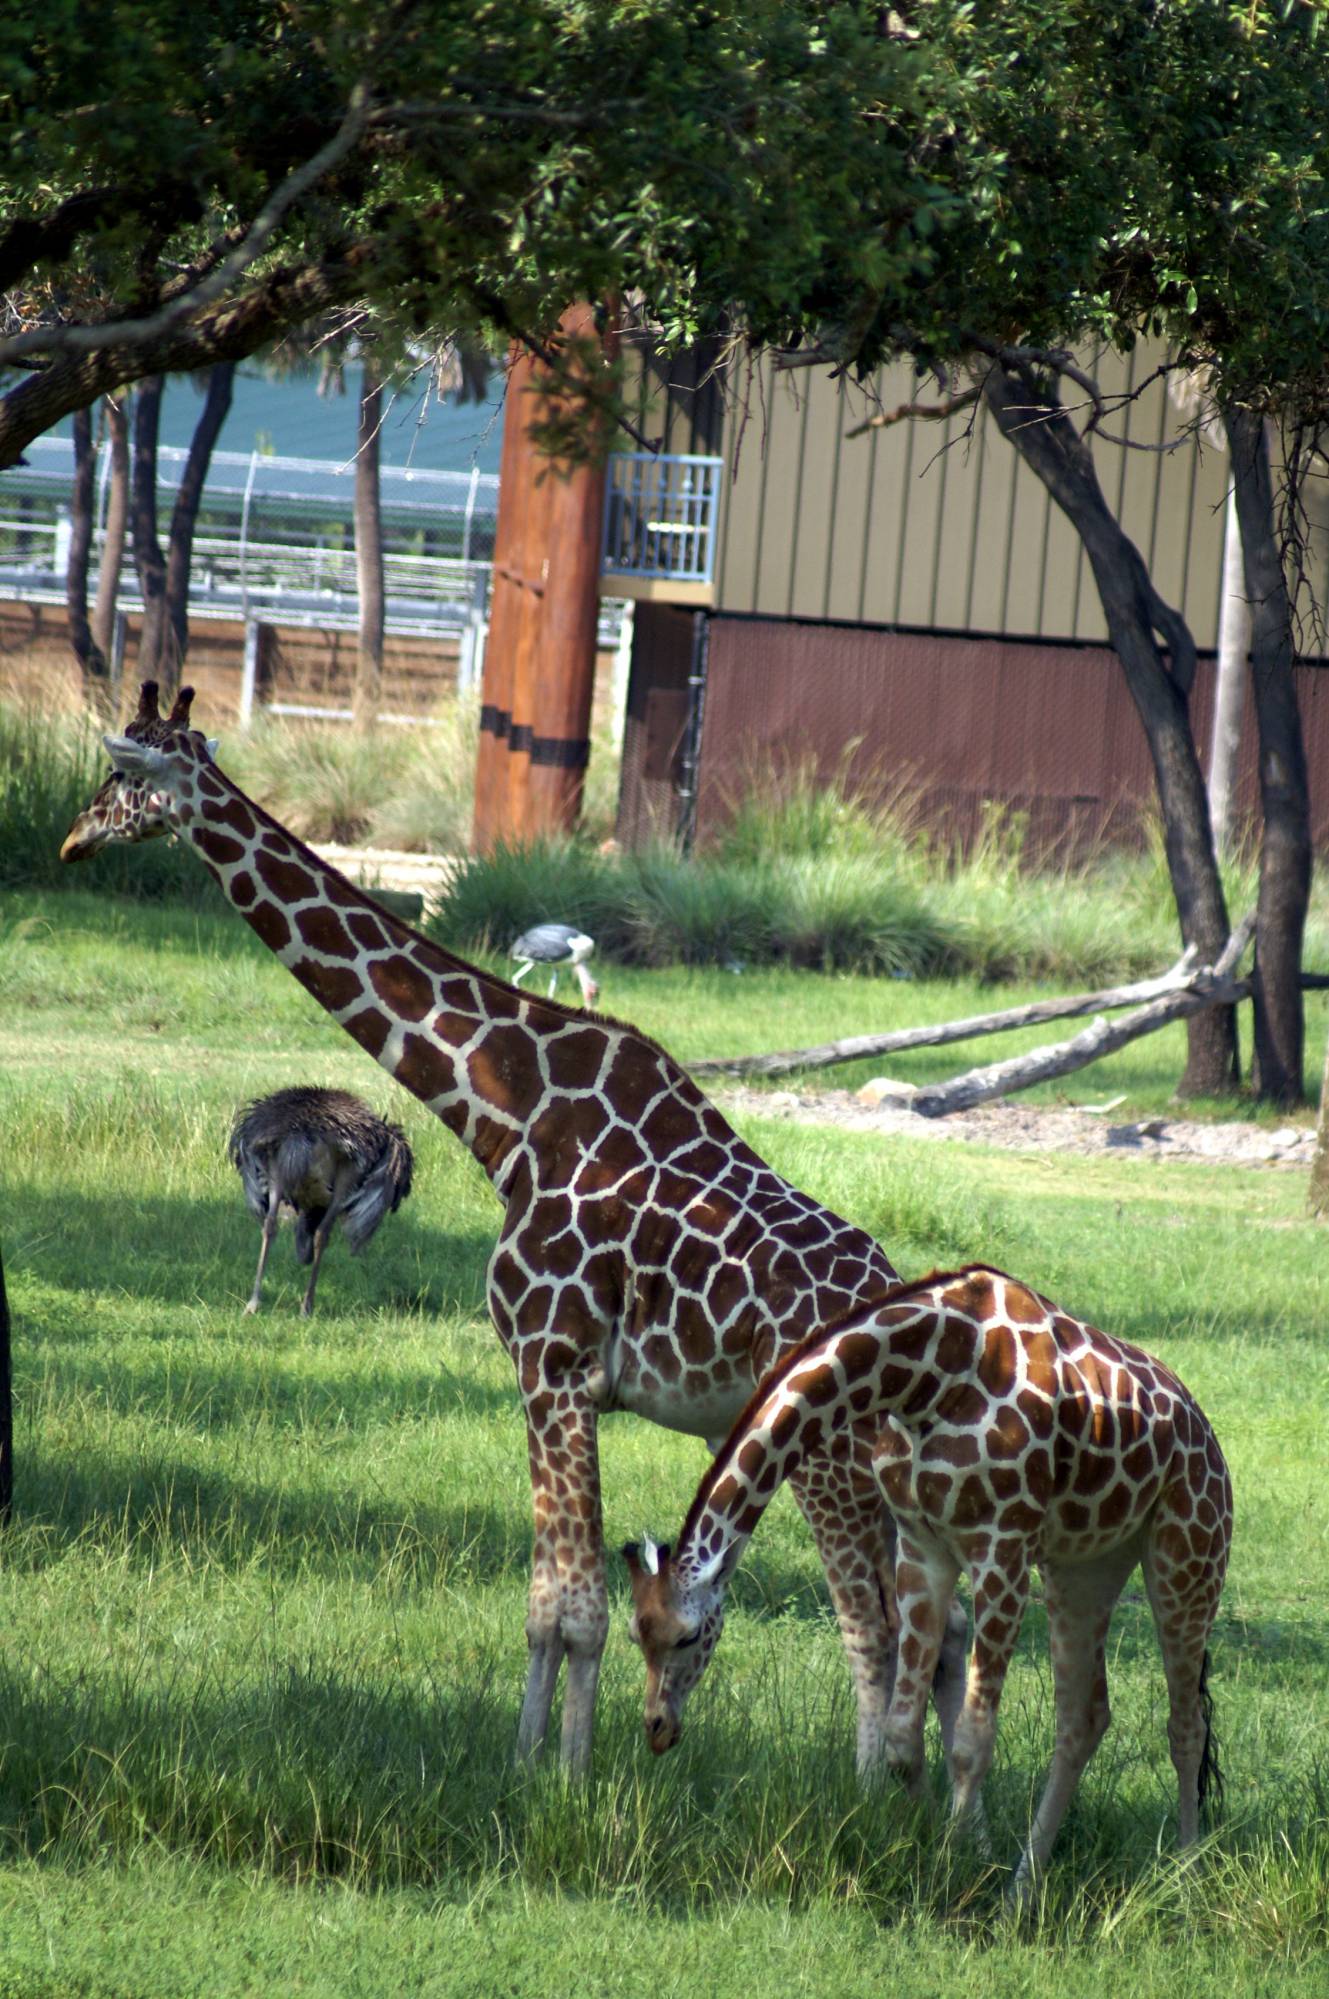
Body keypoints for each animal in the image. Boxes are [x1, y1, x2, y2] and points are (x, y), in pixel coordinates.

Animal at [56, 679, 963, 1775]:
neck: (506, 1109)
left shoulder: (554, 1360)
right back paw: (930, 1798)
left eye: (120, 776)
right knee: (943, 1628)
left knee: (874, 1619)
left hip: (832, 1460)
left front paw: (565, 1782)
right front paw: (526, 1761)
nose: (69, 840)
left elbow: (577, 1607)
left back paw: (870, 1792)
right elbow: (542, 1601)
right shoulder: (544, 1375)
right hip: (892, 1473)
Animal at [627, 1263, 1231, 1887]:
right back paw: (1024, 1888)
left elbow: (970, 1740)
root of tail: (1206, 1435)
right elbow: (902, 1737)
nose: (656, 1728)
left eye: (688, 1637)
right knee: (1082, 1718)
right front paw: (927, 1842)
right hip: (1084, 1568)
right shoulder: (923, 1548)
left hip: (1188, 1554)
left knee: (1185, 1725)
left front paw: (957, 1866)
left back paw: (1186, 1873)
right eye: (635, 1635)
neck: (931, 1372)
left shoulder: (1000, 1548)